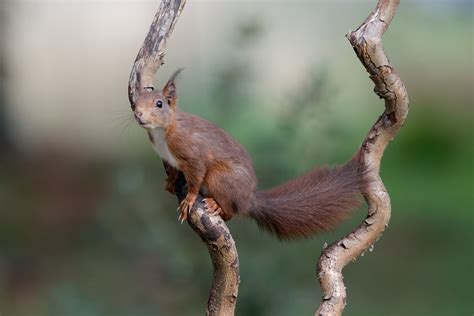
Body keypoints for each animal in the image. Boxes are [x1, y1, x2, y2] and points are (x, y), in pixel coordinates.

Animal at [133, 68, 366, 237]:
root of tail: (248, 199)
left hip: (220, 177)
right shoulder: (170, 157)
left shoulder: (194, 153)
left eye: (159, 104)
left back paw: (216, 205)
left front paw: (189, 200)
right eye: (135, 103)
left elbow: (196, 177)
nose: (138, 114)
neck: (163, 132)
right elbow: (174, 168)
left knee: (231, 212)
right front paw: (171, 180)